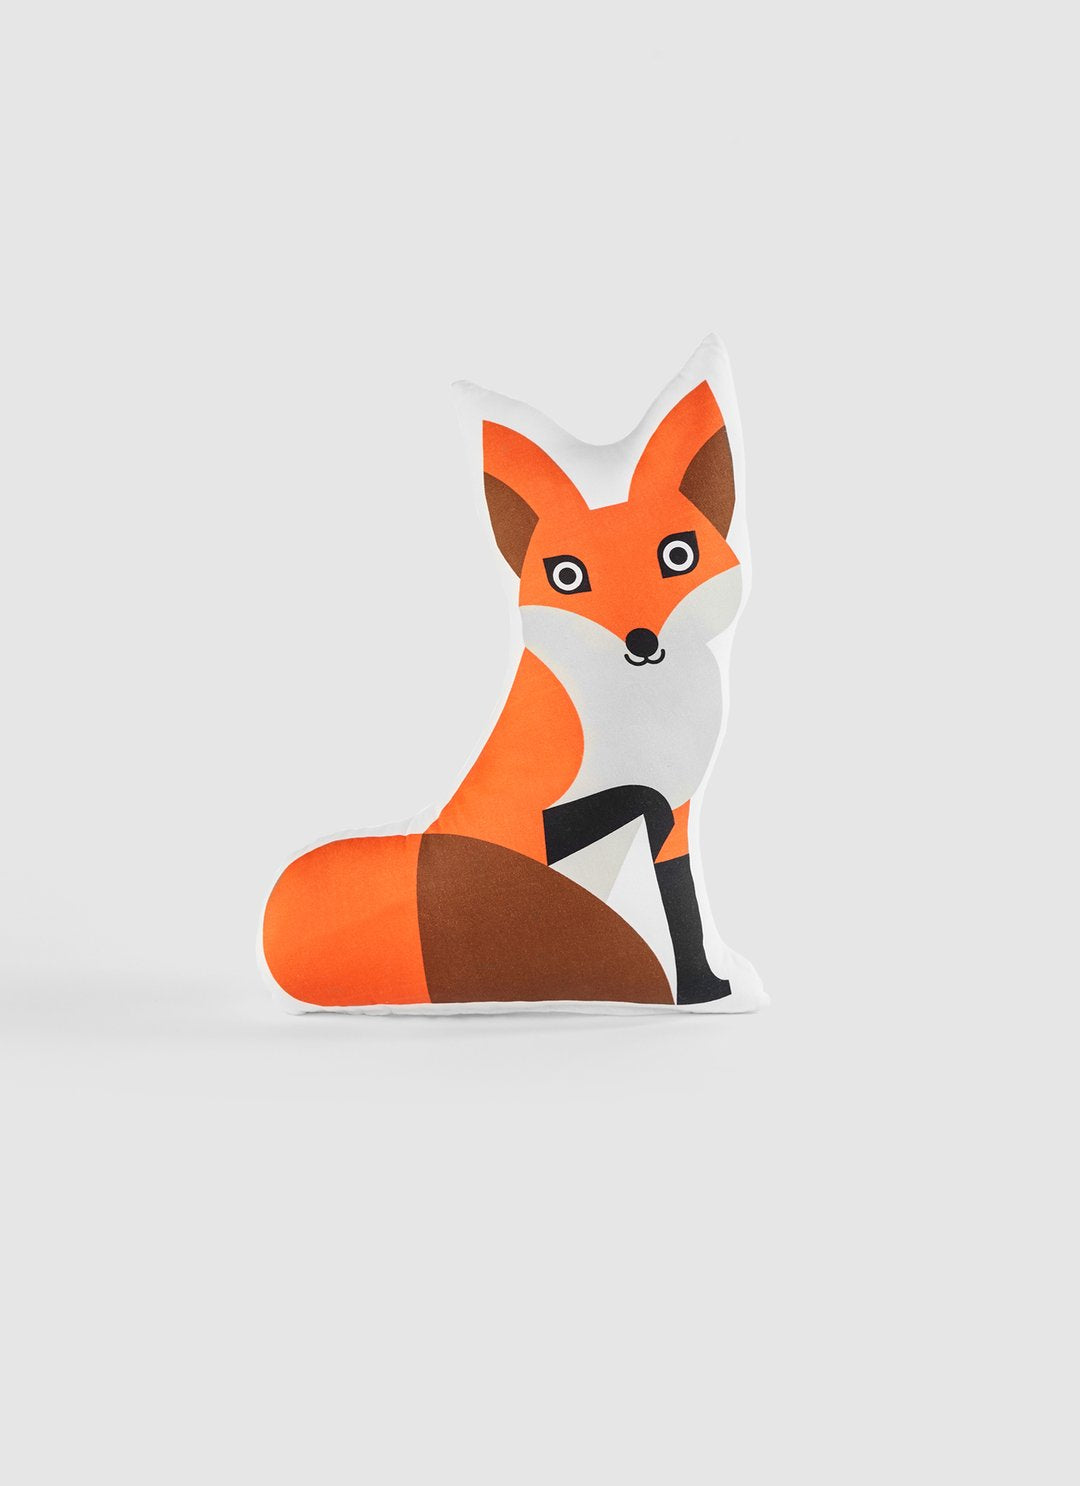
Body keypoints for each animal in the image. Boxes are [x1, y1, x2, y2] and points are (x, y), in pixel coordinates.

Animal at [263, 344, 761, 1011]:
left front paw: (705, 987)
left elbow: (679, 893)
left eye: (678, 556)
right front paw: (698, 986)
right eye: (567, 576)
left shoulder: (681, 812)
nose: (640, 640)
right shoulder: (553, 819)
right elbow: (643, 806)